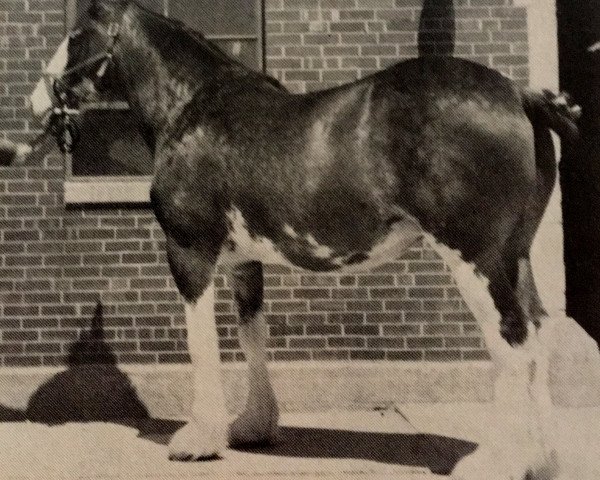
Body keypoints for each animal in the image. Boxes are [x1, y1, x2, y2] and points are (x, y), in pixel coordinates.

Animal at [29, 1, 580, 478]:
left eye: (76, 35)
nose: (36, 100)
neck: (193, 109)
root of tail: (518, 94)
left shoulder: (190, 252)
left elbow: (201, 342)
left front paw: (198, 439)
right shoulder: (244, 261)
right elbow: (252, 335)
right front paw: (252, 427)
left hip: (476, 258)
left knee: (513, 342)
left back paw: (496, 462)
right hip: (515, 255)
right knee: (536, 334)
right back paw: (542, 460)